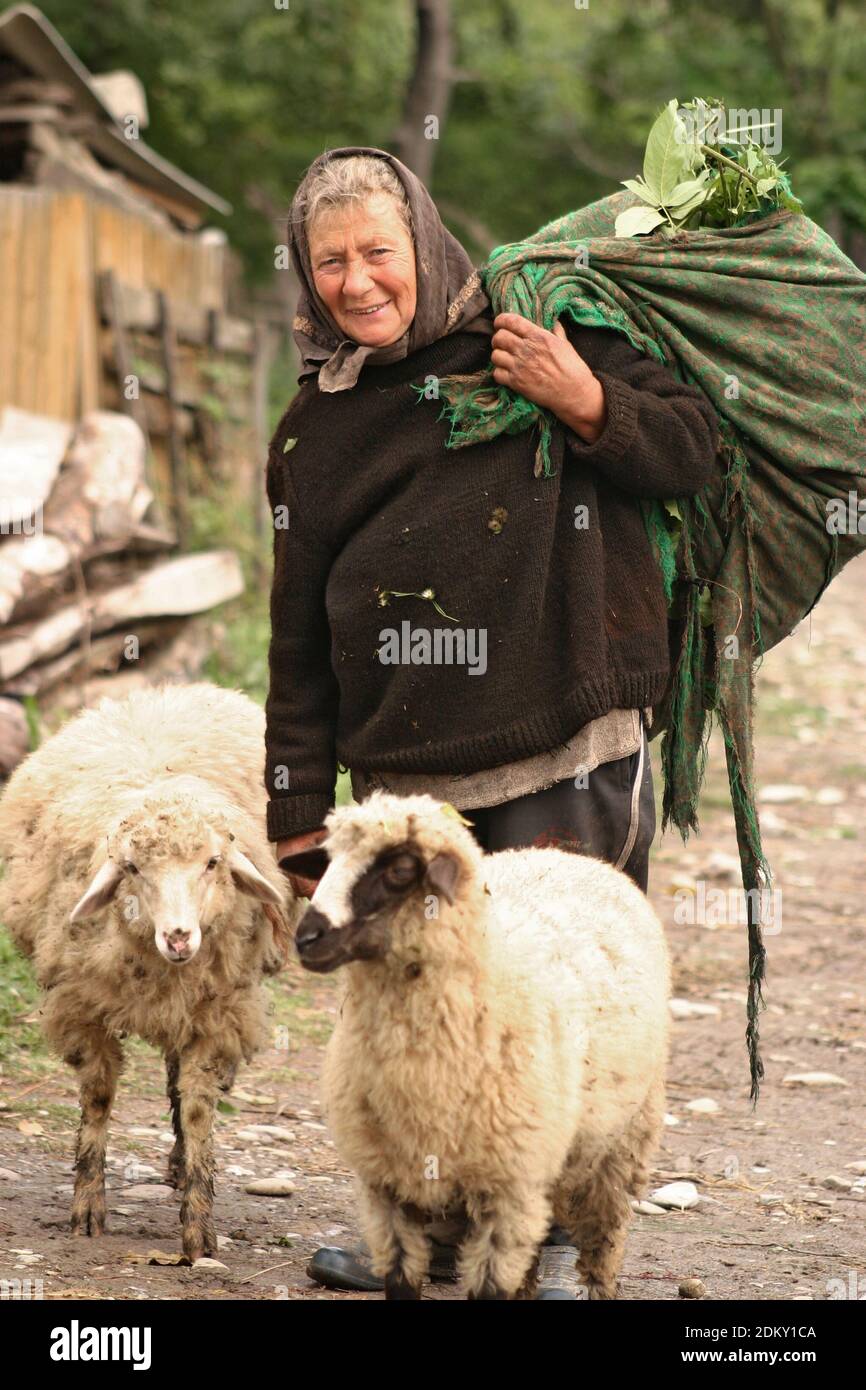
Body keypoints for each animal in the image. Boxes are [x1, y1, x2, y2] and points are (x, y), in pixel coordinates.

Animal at [0, 678, 296, 1267]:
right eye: (133, 868)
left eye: (212, 863)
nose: (179, 937)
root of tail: (173, 688)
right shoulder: (82, 1006)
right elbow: (97, 1097)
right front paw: (87, 1207)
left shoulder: (215, 1015)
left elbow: (199, 1110)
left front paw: (198, 1227)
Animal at [284, 795, 670, 1301]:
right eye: (327, 861)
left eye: (400, 870)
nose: (307, 939)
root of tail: (572, 857)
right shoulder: (389, 1185)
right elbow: (401, 1282)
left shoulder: (508, 1188)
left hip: (619, 1143)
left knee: (603, 1242)